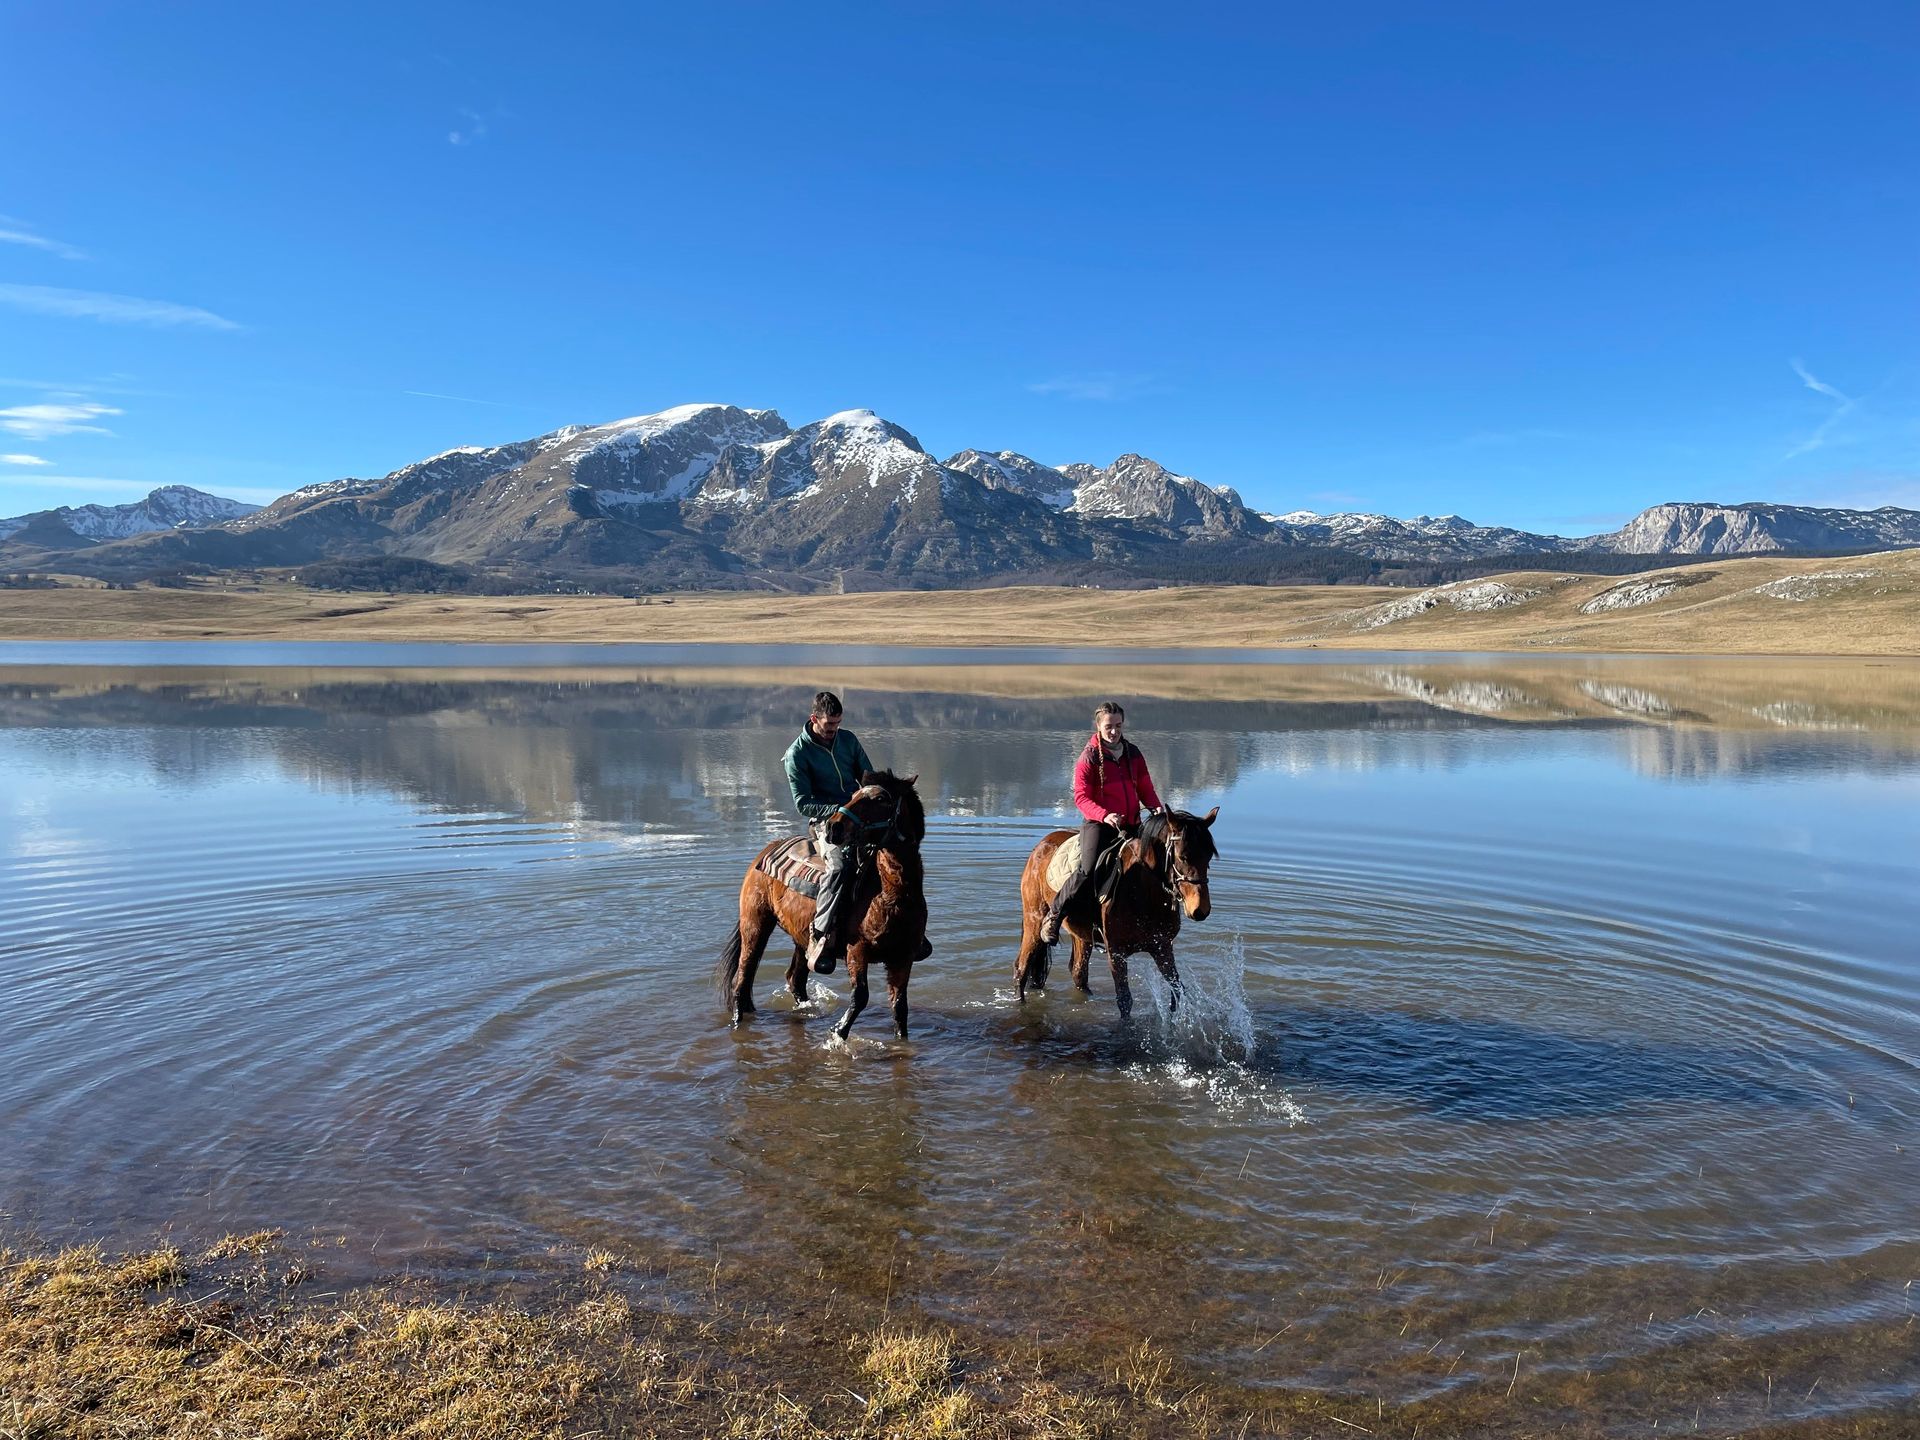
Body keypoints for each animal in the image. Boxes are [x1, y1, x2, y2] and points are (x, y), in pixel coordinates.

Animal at [721, 771, 929, 1044]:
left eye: (881, 798)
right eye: (854, 795)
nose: (834, 826)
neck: (891, 896)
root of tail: (767, 850)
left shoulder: (903, 957)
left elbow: (899, 1007)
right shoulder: (856, 950)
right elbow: (860, 997)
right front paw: (838, 1031)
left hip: (802, 939)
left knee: (795, 979)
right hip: (755, 923)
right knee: (743, 978)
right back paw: (737, 1024)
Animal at [1013, 806, 1221, 1021]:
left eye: (1208, 857)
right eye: (1182, 857)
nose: (1200, 909)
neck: (1143, 889)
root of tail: (1041, 845)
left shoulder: (1162, 947)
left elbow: (1177, 990)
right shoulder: (1116, 953)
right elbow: (1124, 1000)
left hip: (1081, 935)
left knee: (1078, 972)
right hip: (1034, 920)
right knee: (1021, 967)